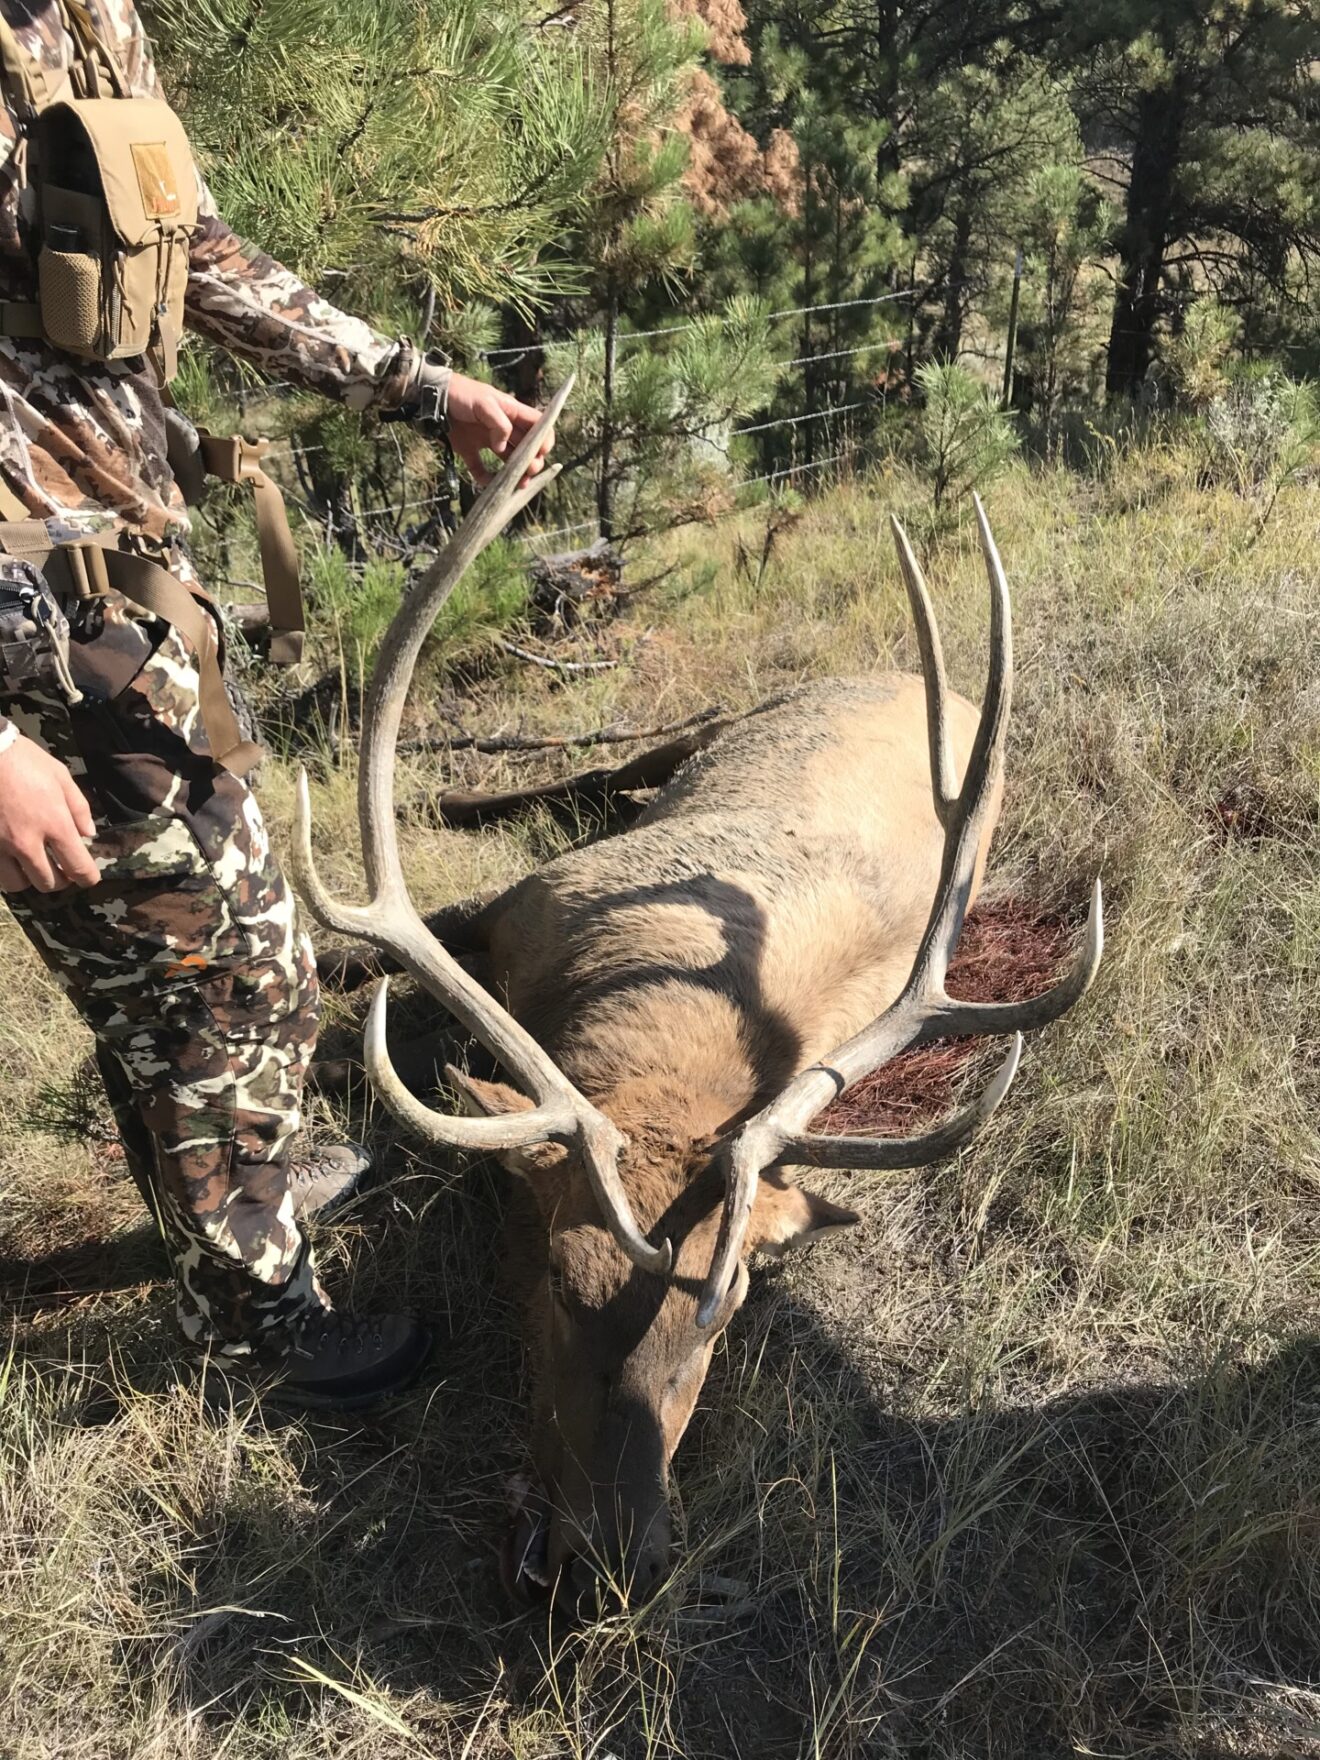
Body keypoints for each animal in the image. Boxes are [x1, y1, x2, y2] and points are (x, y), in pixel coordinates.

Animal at [292, 381, 1103, 1614]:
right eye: (547, 1278)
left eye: (726, 1310)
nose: (610, 1561)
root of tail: (936, 687)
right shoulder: (533, 897)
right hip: (723, 729)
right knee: (614, 762)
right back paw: (469, 796)